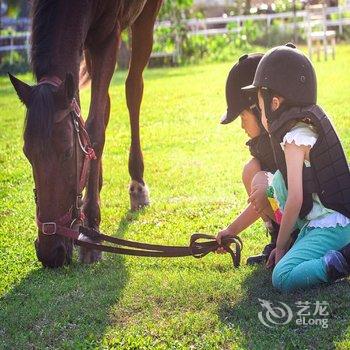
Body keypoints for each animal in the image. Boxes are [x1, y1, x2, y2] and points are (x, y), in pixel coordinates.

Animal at [9, 0, 163, 268]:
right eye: (27, 153)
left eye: (67, 153)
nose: (50, 253)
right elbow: (86, 117)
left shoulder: (107, 37)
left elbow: (94, 131)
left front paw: (91, 232)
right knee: (106, 103)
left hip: (146, 16)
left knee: (133, 88)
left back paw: (137, 182)